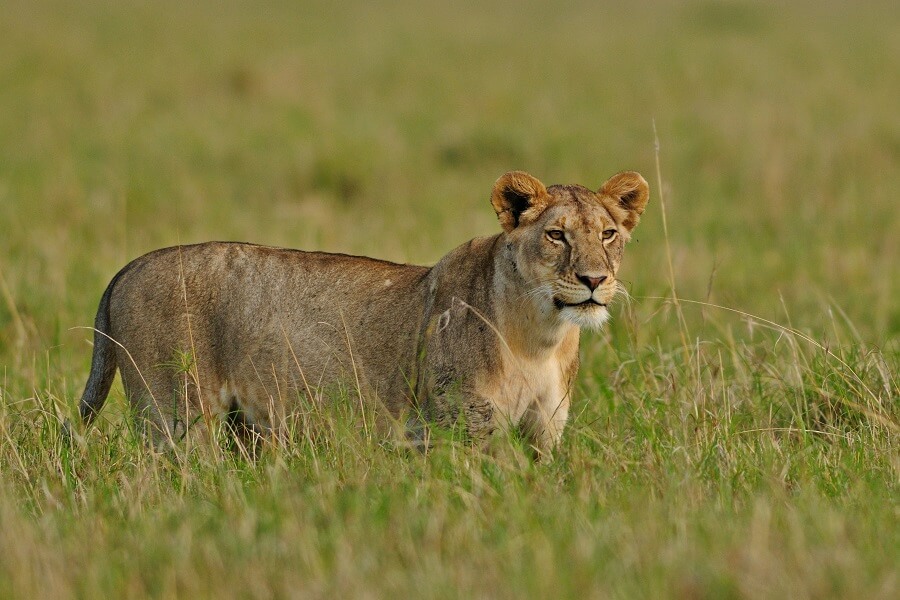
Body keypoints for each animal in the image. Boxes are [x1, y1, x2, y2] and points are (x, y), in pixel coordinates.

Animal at [75, 171, 648, 458]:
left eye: (607, 234)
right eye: (556, 235)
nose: (594, 280)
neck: (540, 335)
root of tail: (128, 268)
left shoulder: (544, 430)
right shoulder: (465, 425)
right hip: (174, 414)